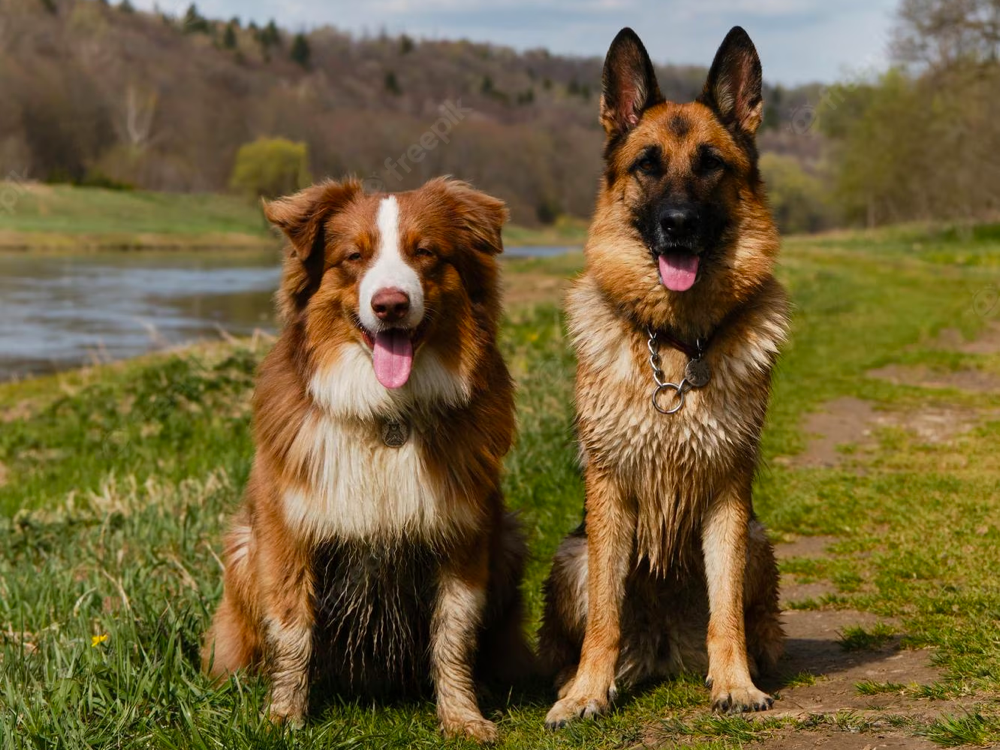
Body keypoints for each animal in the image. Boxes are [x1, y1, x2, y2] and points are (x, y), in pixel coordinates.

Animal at [201, 178, 532, 748]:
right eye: (354, 257)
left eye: (426, 253)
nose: (391, 305)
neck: (386, 415)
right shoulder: (288, 532)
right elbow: (292, 630)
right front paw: (283, 718)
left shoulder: (464, 534)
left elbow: (453, 633)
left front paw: (462, 718)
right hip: (243, 549)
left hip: (508, 540)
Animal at [540, 27, 788, 728]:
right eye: (648, 165)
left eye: (710, 164)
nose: (677, 224)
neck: (676, 342)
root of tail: (661, 646)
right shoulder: (610, 495)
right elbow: (605, 615)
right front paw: (588, 692)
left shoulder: (729, 496)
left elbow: (726, 613)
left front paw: (735, 683)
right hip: (572, 556)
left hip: (758, 542)